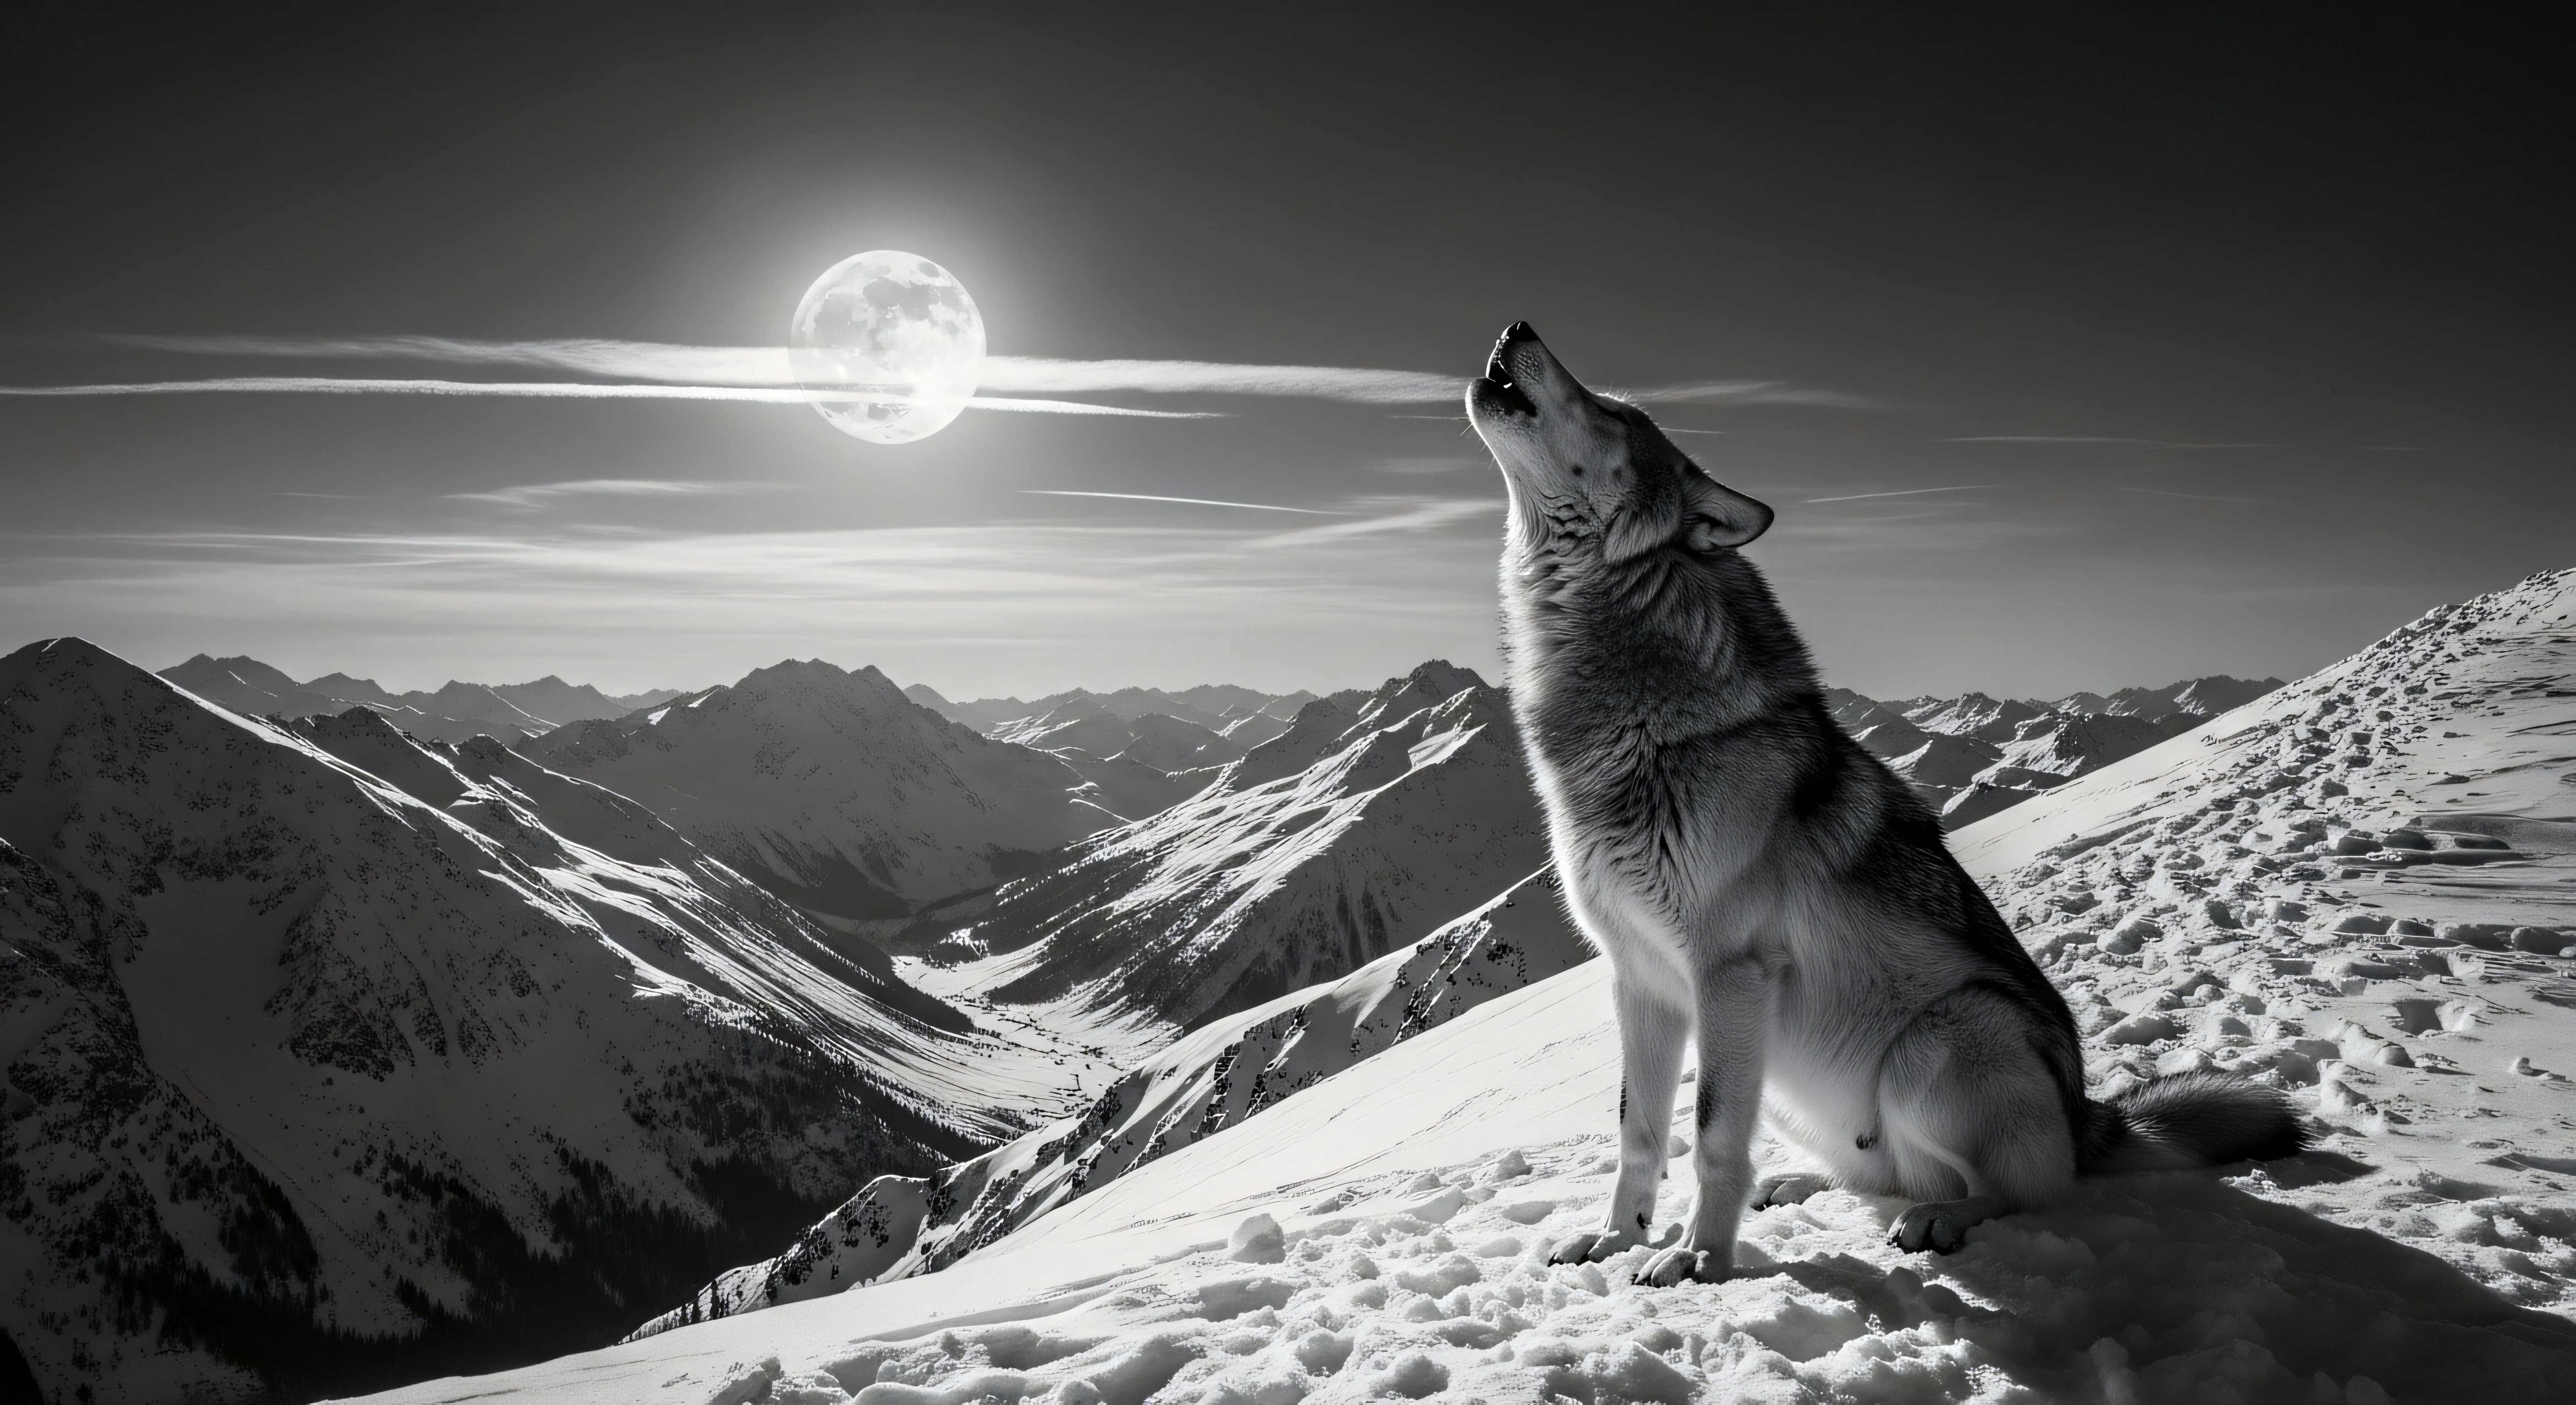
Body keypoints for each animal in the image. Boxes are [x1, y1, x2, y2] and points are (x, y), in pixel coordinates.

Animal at [1464, 323, 2304, 1286]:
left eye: (1611, 411)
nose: (1516, 329)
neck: (1635, 722)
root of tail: (2092, 1117)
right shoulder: (1638, 980)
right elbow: (1637, 1130)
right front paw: (1615, 1239)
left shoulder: (1729, 974)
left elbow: (1709, 1135)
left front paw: (1699, 1258)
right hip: (1807, 1089)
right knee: (1884, 1175)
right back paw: (1798, 1187)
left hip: (1934, 1046)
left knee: (2014, 1192)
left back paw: (1938, 1220)